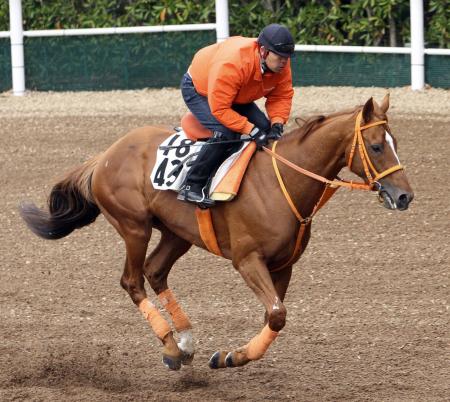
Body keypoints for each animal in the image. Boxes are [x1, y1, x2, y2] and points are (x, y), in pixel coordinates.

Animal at [21, 94, 414, 370]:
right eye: (376, 146)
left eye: (396, 142)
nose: (404, 196)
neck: (281, 182)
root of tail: (104, 156)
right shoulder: (247, 260)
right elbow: (277, 314)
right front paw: (228, 356)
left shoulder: (283, 266)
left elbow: (273, 317)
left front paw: (228, 356)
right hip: (134, 226)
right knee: (132, 281)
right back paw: (170, 346)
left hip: (177, 233)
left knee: (155, 271)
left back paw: (185, 343)